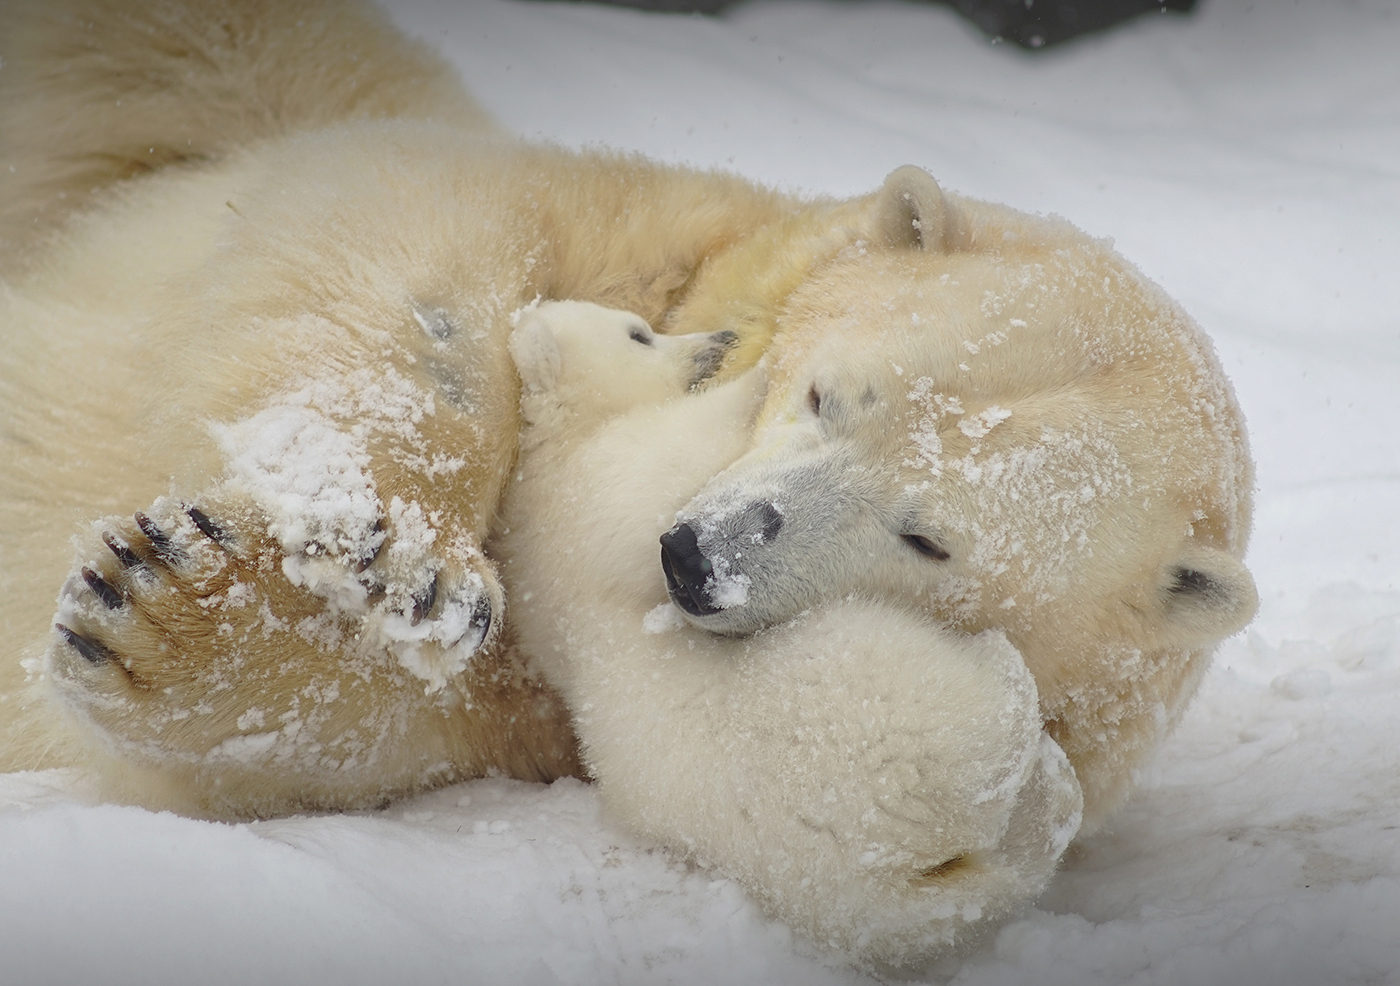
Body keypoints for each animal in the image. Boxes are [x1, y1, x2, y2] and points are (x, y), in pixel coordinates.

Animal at [501, 299, 1080, 963]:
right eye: (640, 334)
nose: (721, 339)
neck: (553, 440)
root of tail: (906, 878)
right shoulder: (592, 488)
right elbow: (661, 487)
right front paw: (759, 373)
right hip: (877, 695)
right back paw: (1015, 693)